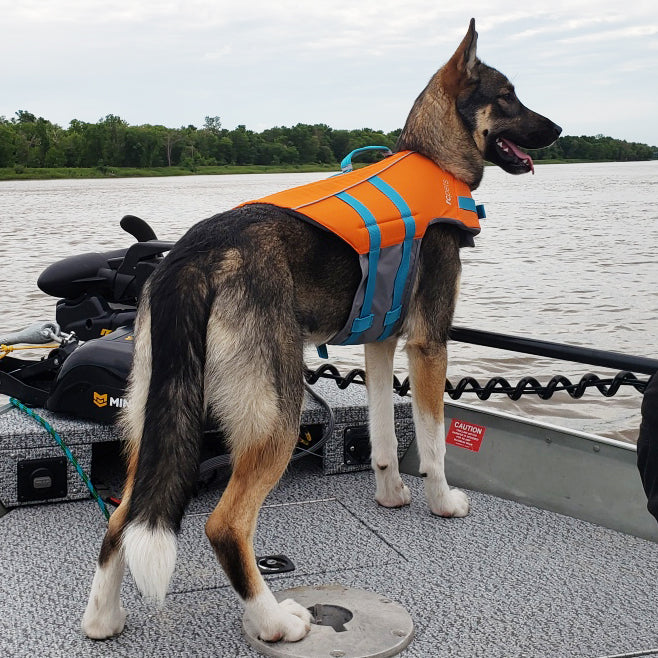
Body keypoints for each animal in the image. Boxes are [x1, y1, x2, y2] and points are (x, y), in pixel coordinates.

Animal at [79, 19, 556, 640]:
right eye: (507, 97)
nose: (558, 130)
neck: (432, 159)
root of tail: (193, 254)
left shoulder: (379, 344)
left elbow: (382, 436)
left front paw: (391, 495)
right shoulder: (429, 343)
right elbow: (432, 440)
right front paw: (443, 501)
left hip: (154, 416)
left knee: (122, 516)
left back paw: (102, 618)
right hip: (275, 415)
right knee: (224, 525)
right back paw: (274, 621)